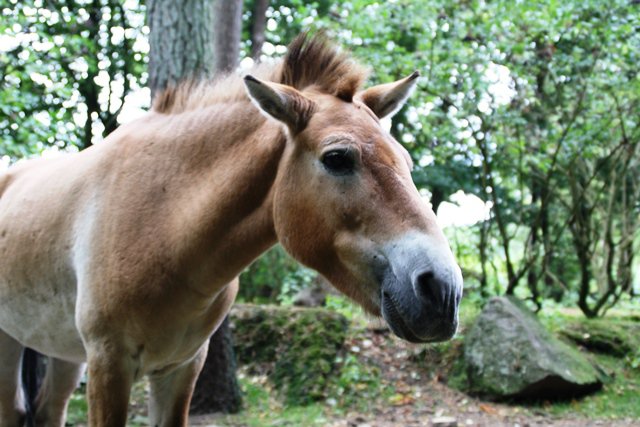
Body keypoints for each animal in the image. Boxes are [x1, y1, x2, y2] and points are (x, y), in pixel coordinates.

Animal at [0, 34, 463, 426]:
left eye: (405, 160)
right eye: (337, 158)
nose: (442, 290)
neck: (163, 226)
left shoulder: (181, 367)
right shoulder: (109, 365)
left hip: (64, 354)